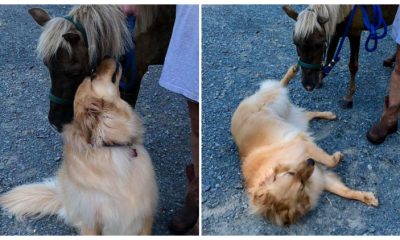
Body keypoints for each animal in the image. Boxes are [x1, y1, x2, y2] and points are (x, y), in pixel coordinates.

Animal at [0, 58, 159, 234]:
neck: (110, 146)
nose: (108, 57)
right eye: (93, 76)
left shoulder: (145, 215)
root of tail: (63, 196)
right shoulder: (92, 221)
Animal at [231, 66, 378, 226]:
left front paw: (337, 156)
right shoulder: (319, 177)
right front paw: (366, 197)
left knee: (279, 86)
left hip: (274, 101)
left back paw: (292, 71)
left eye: (290, 173)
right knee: (307, 113)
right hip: (291, 117)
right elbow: (345, 192)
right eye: (300, 185)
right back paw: (328, 114)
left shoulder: (305, 146)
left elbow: (330, 162)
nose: (310, 161)